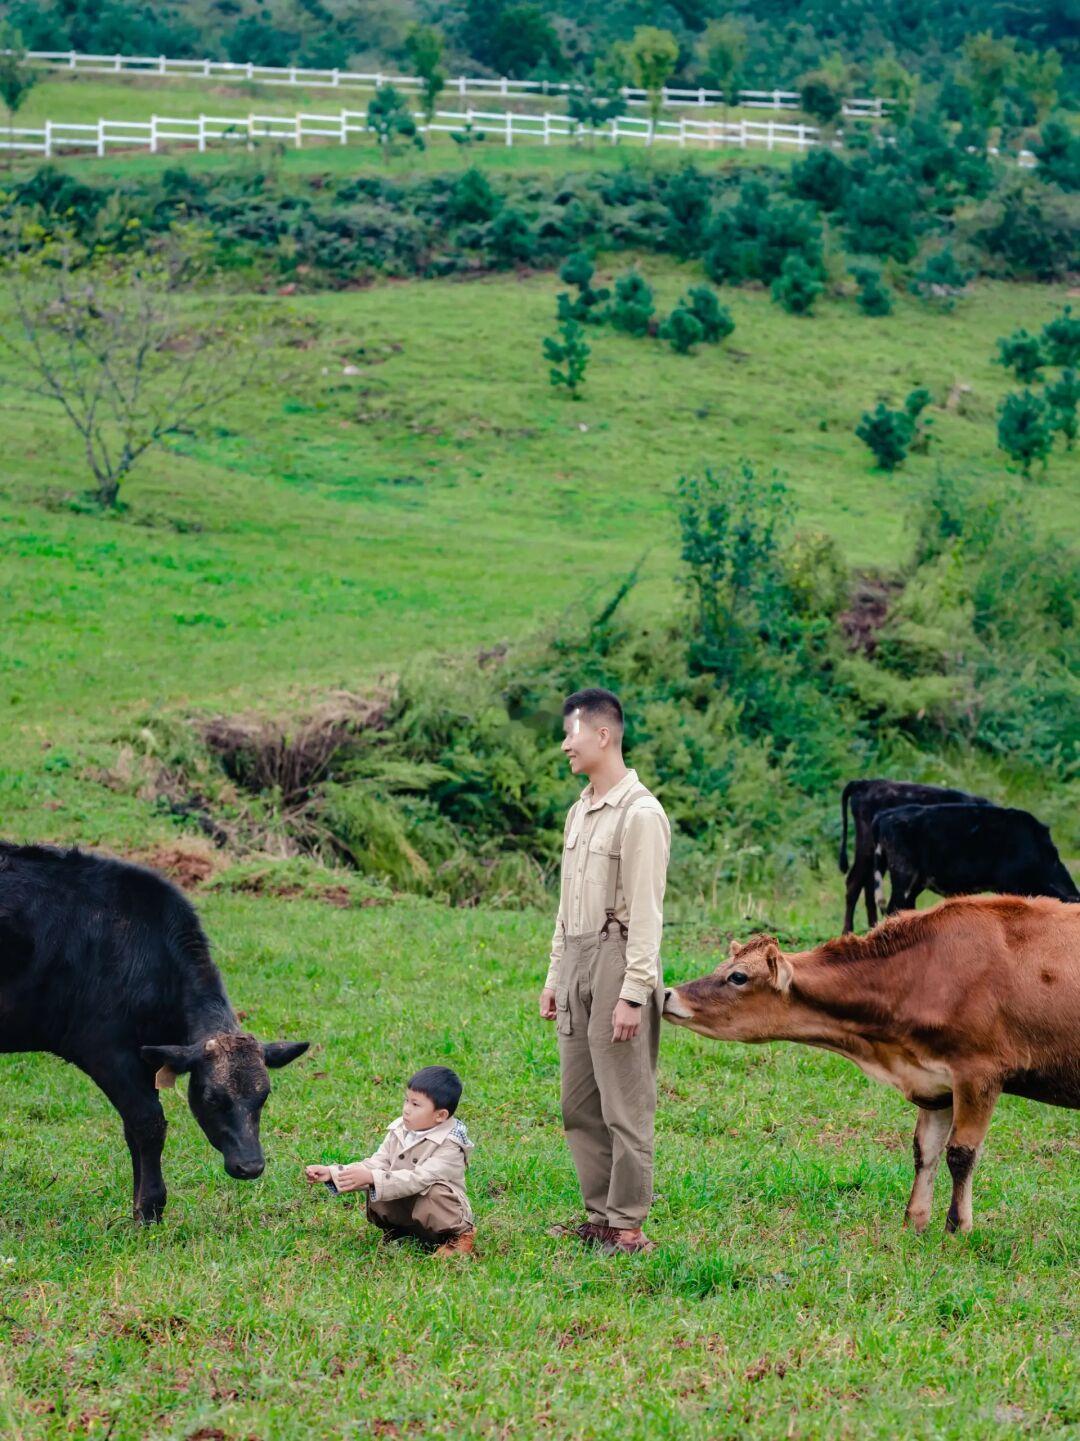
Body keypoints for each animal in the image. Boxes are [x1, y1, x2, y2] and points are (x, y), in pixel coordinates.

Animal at [0, 841, 307, 1227]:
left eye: (264, 1095)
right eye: (211, 1098)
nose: (250, 1166)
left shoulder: (148, 1054)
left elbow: (134, 1129)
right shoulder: (106, 1050)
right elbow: (149, 1122)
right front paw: (149, 1210)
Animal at [666, 893, 1078, 1233]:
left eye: (738, 976)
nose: (669, 993)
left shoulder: (979, 1073)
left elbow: (961, 1154)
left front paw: (957, 1228)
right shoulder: (934, 1082)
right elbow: (924, 1151)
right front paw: (914, 1222)